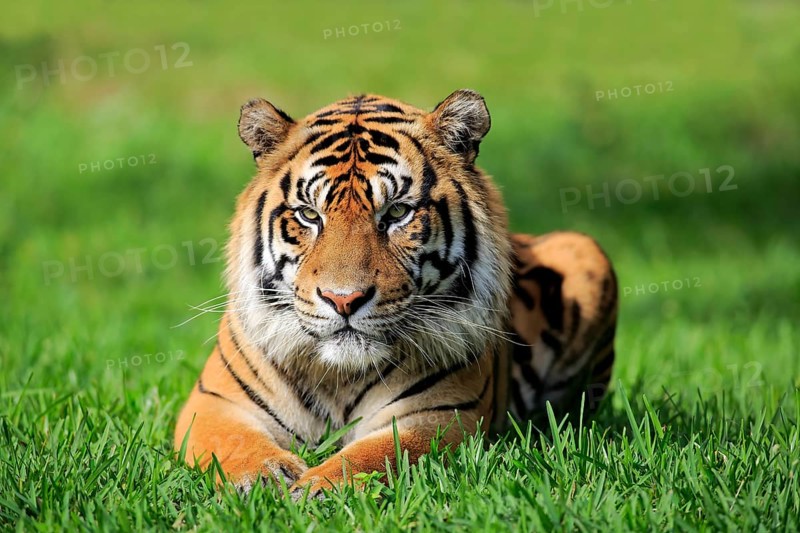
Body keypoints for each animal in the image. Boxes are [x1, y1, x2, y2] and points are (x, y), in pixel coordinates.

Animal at [174, 89, 618, 496]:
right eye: (309, 215)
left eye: (398, 213)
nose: (343, 300)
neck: (339, 376)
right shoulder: (216, 402)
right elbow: (232, 442)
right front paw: (265, 479)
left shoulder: (438, 415)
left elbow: (376, 454)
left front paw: (318, 487)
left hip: (584, 249)